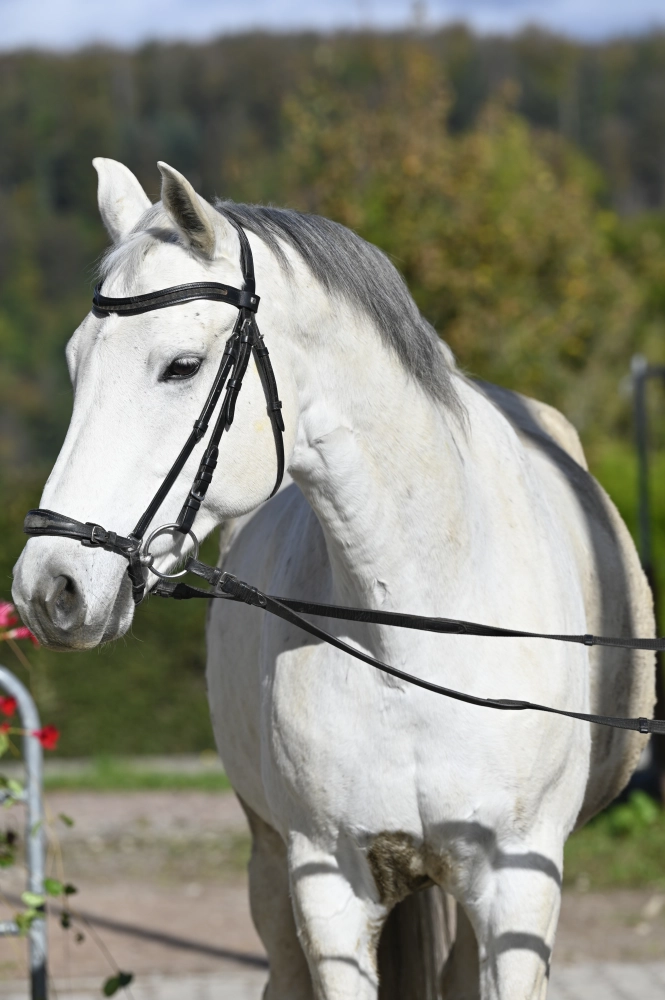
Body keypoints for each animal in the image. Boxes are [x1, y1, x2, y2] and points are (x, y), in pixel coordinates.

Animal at [14, 160, 652, 996]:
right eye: (75, 361)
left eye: (180, 367)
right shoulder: (327, 884)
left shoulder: (519, 886)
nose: (49, 588)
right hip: (268, 865)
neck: (414, 624)